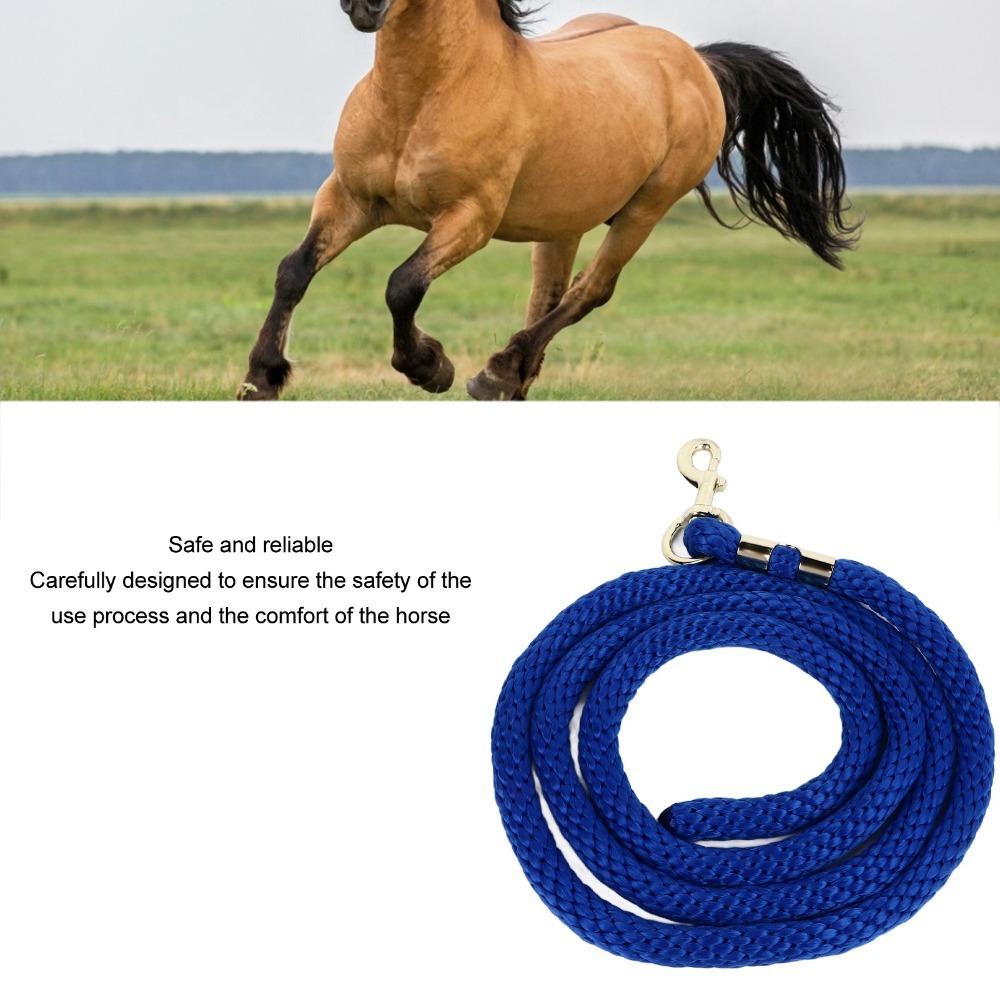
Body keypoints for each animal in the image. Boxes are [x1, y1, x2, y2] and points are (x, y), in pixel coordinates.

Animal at [238, 1, 858, 401]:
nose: (363, 4)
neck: (424, 94)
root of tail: (696, 62)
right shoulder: (349, 198)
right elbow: (294, 270)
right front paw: (261, 378)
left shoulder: (470, 218)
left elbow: (402, 285)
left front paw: (430, 366)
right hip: (564, 222)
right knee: (548, 296)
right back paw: (512, 379)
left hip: (645, 210)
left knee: (589, 291)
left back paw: (495, 374)